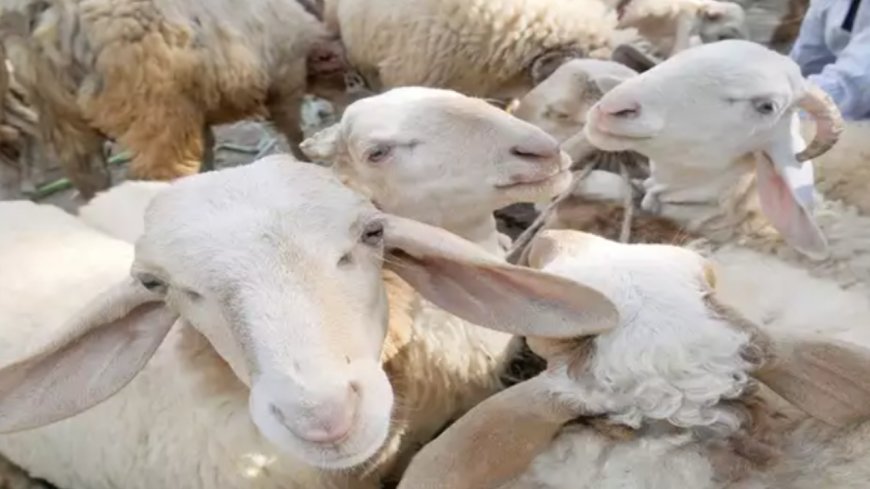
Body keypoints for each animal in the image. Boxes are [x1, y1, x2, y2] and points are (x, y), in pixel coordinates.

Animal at [0, 0, 362, 199]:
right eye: (353, 78)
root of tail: (54, 18)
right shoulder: (284, 80)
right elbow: (293, 132)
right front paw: (307, 165)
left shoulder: (198, 106)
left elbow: (210, 144)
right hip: (155, 113)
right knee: (154, 177)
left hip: (61, 116)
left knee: (90, 180)